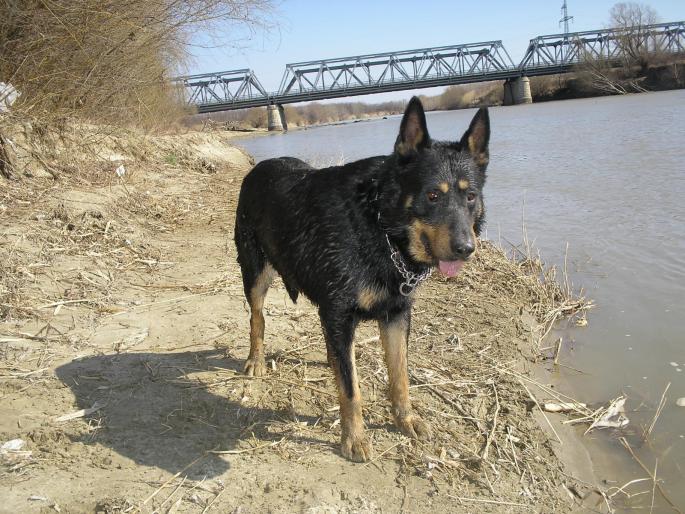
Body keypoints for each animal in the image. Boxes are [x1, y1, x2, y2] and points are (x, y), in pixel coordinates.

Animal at [234, 97, 486, 460]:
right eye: (432, 196)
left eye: (470, 196)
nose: (466, 249)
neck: (377, 224)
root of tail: (258, 168)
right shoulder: (339, 313)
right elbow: (351, 389)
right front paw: (353, 437)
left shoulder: (396, 315)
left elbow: (399, 374)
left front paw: (405, 418)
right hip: (255, 273)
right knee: (257, 318)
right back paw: (256, 359)